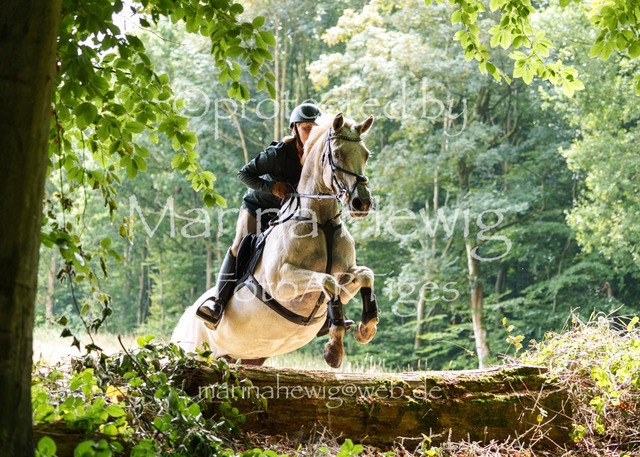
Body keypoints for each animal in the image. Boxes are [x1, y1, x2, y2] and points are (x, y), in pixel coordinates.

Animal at [171, 113, 379, 368]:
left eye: (366, 155)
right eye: (338, 154)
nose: (362, 203)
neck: (322, 223)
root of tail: (184, 319)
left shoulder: (346, 279)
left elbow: (365, 275)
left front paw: (365, 328)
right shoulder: (282, 282)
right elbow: (328, 281)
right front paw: (334, 350)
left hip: (247, 357)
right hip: (192, 351)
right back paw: (211, 310)